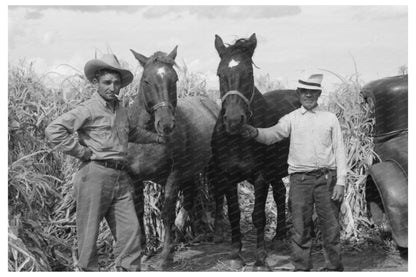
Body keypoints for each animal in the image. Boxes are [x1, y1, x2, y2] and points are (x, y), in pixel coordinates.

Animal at [127, 47, 219, 268]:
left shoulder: (173, 176)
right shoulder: (134, 179)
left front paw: (166, 256)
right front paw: (143, 251)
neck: (146, 137)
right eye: (146, 81)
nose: (166, 125)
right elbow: (138, 211)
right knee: (190, 199)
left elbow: (167, 213)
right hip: (191, 172)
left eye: (174, 79)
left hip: (212, 166)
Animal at [210, 33, 300, 266]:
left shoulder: (261, 176)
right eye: (219, 73)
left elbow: (258, 215)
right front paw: (235, 254)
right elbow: (234, 213)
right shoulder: (227, 177)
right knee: (280, 192)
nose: (234, 121)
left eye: (249, 73)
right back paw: (278, 237)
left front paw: (260, 258)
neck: (238, 140)